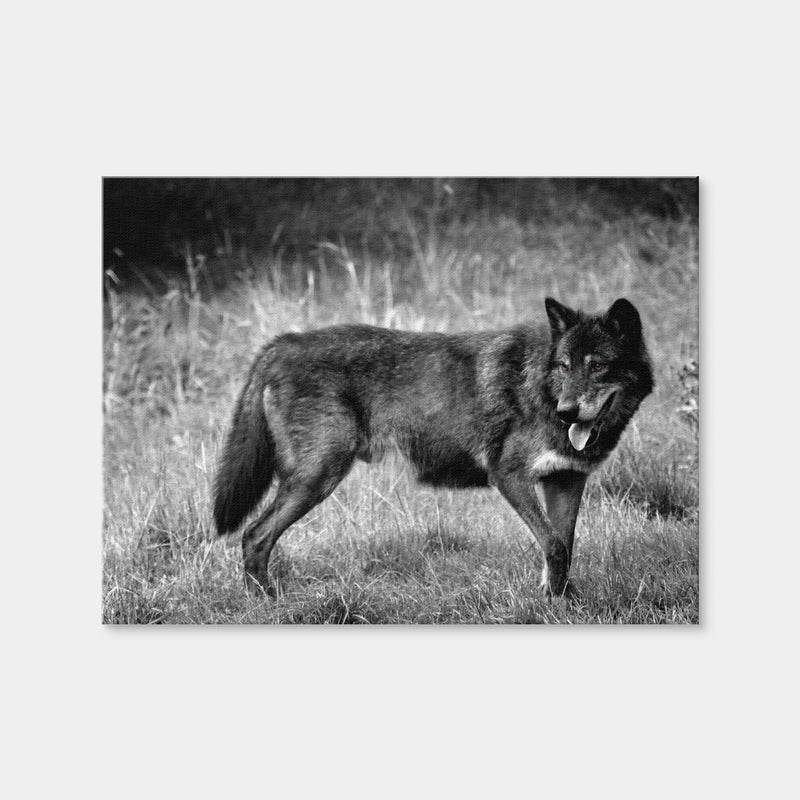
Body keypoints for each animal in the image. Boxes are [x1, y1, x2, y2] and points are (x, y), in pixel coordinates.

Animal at [213, 297, 653, 598]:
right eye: (564, 366)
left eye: (598, 366)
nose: (567, 412)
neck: (541, 390)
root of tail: (280, 343)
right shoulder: (509, 477)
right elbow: (553, 545)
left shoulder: (565, 481)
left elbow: (564, 547)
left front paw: (560, 602)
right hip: (318, 478)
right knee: (254, 536)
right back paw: (268, 602)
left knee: (255, 537)